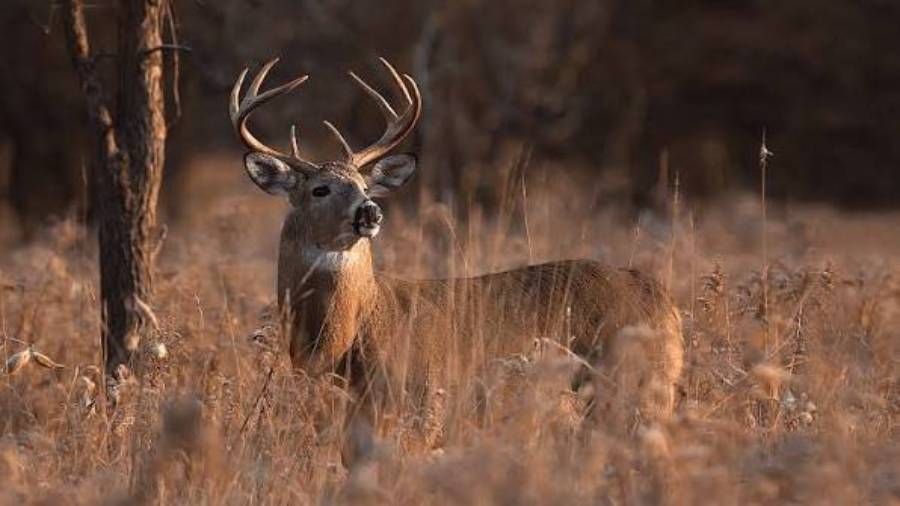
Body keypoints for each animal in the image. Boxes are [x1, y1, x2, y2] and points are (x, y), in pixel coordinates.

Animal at [230, 58, 684, 448]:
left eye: (363, 185)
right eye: (319, 189)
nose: (370, 211)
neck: (345, 339)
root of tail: (660, 297)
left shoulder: (420, 402)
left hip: (634, 386)